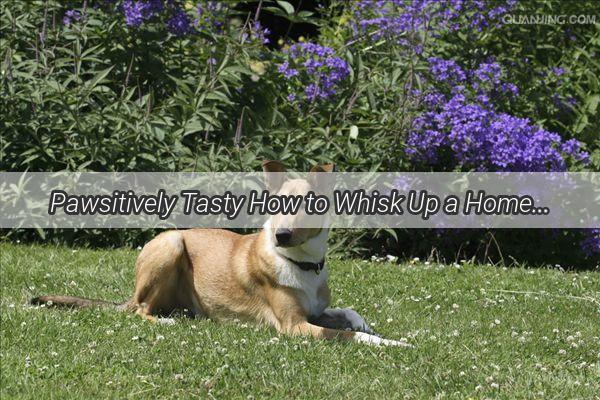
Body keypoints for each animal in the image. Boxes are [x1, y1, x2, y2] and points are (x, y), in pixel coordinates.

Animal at [31, 161, 408, 346]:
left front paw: (368, 325)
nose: (282, 235)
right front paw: (394, 343)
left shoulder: (315, 312)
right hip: (171, 244)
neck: (303, 265)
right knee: (139, 310)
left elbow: (348, 312)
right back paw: (168, 321)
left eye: (308, 205)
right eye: (278, 205)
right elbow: (350, 336)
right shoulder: (294, 326)